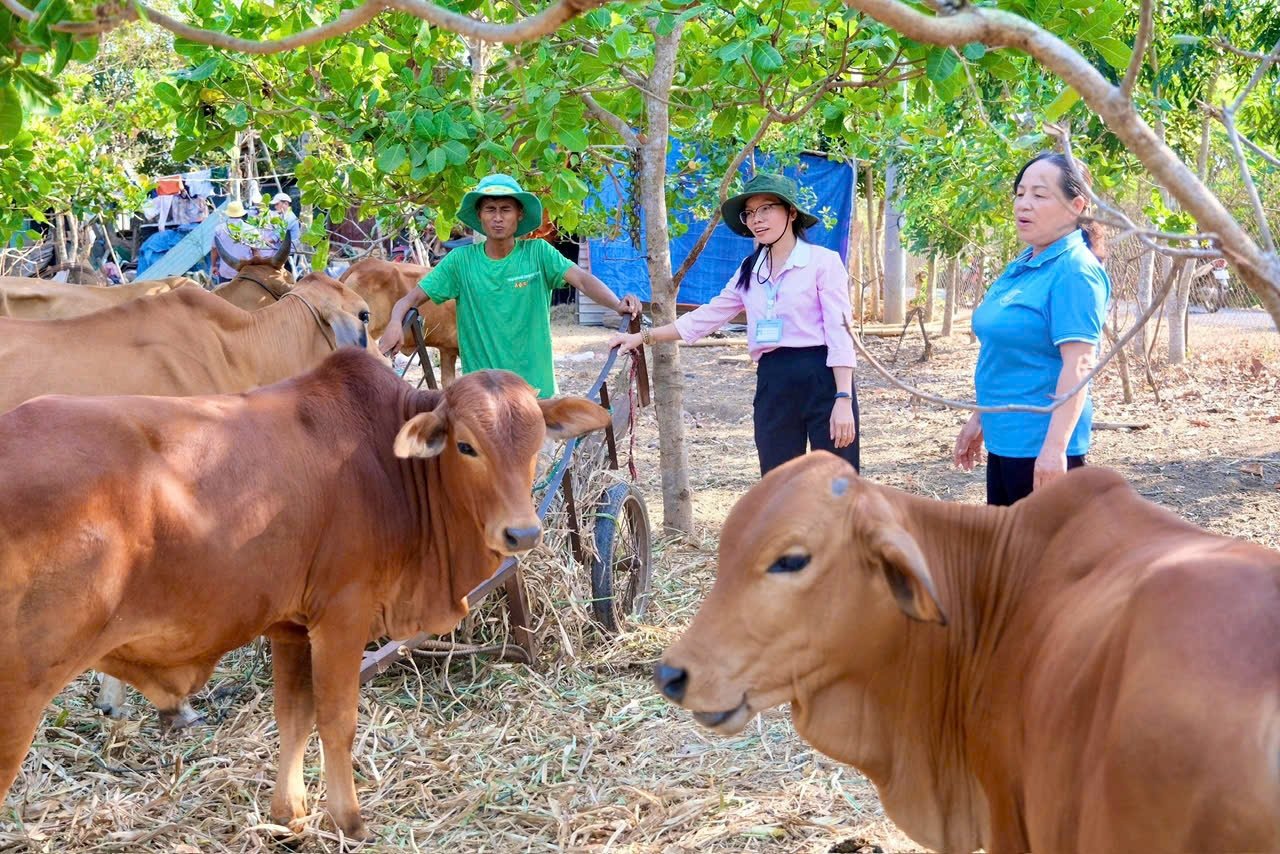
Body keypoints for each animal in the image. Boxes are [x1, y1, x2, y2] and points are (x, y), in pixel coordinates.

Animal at [0, 348, 609, 839]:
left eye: (536, 443)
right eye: (466, 445)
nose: (522, 533)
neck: (389, 466)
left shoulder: (291, 625)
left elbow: (293, 715)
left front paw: (289, 812)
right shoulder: (343, 615)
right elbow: (337, 718)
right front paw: (349, 820)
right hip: (21, 687)